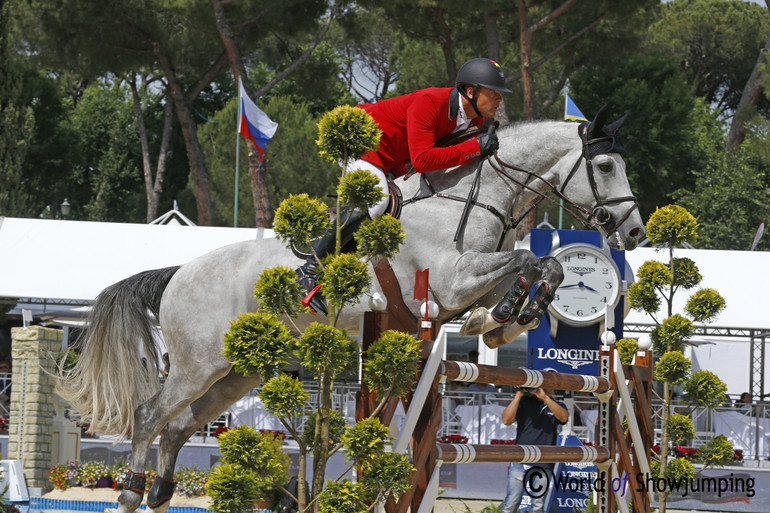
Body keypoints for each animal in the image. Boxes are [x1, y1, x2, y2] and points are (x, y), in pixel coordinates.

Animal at [57, 108, 640, 512]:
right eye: (605, 165)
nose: (633, 232)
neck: (479, 197)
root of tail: (178, 273)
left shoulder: (460, 292)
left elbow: (546, 267)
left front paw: (505, 320)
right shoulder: (448, 283)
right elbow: (525, 258)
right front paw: (506, 314)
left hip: (238, 371)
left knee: (178, 426)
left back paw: (161, 491)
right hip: (198, 363)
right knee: (150, 416)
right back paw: (132, 492)